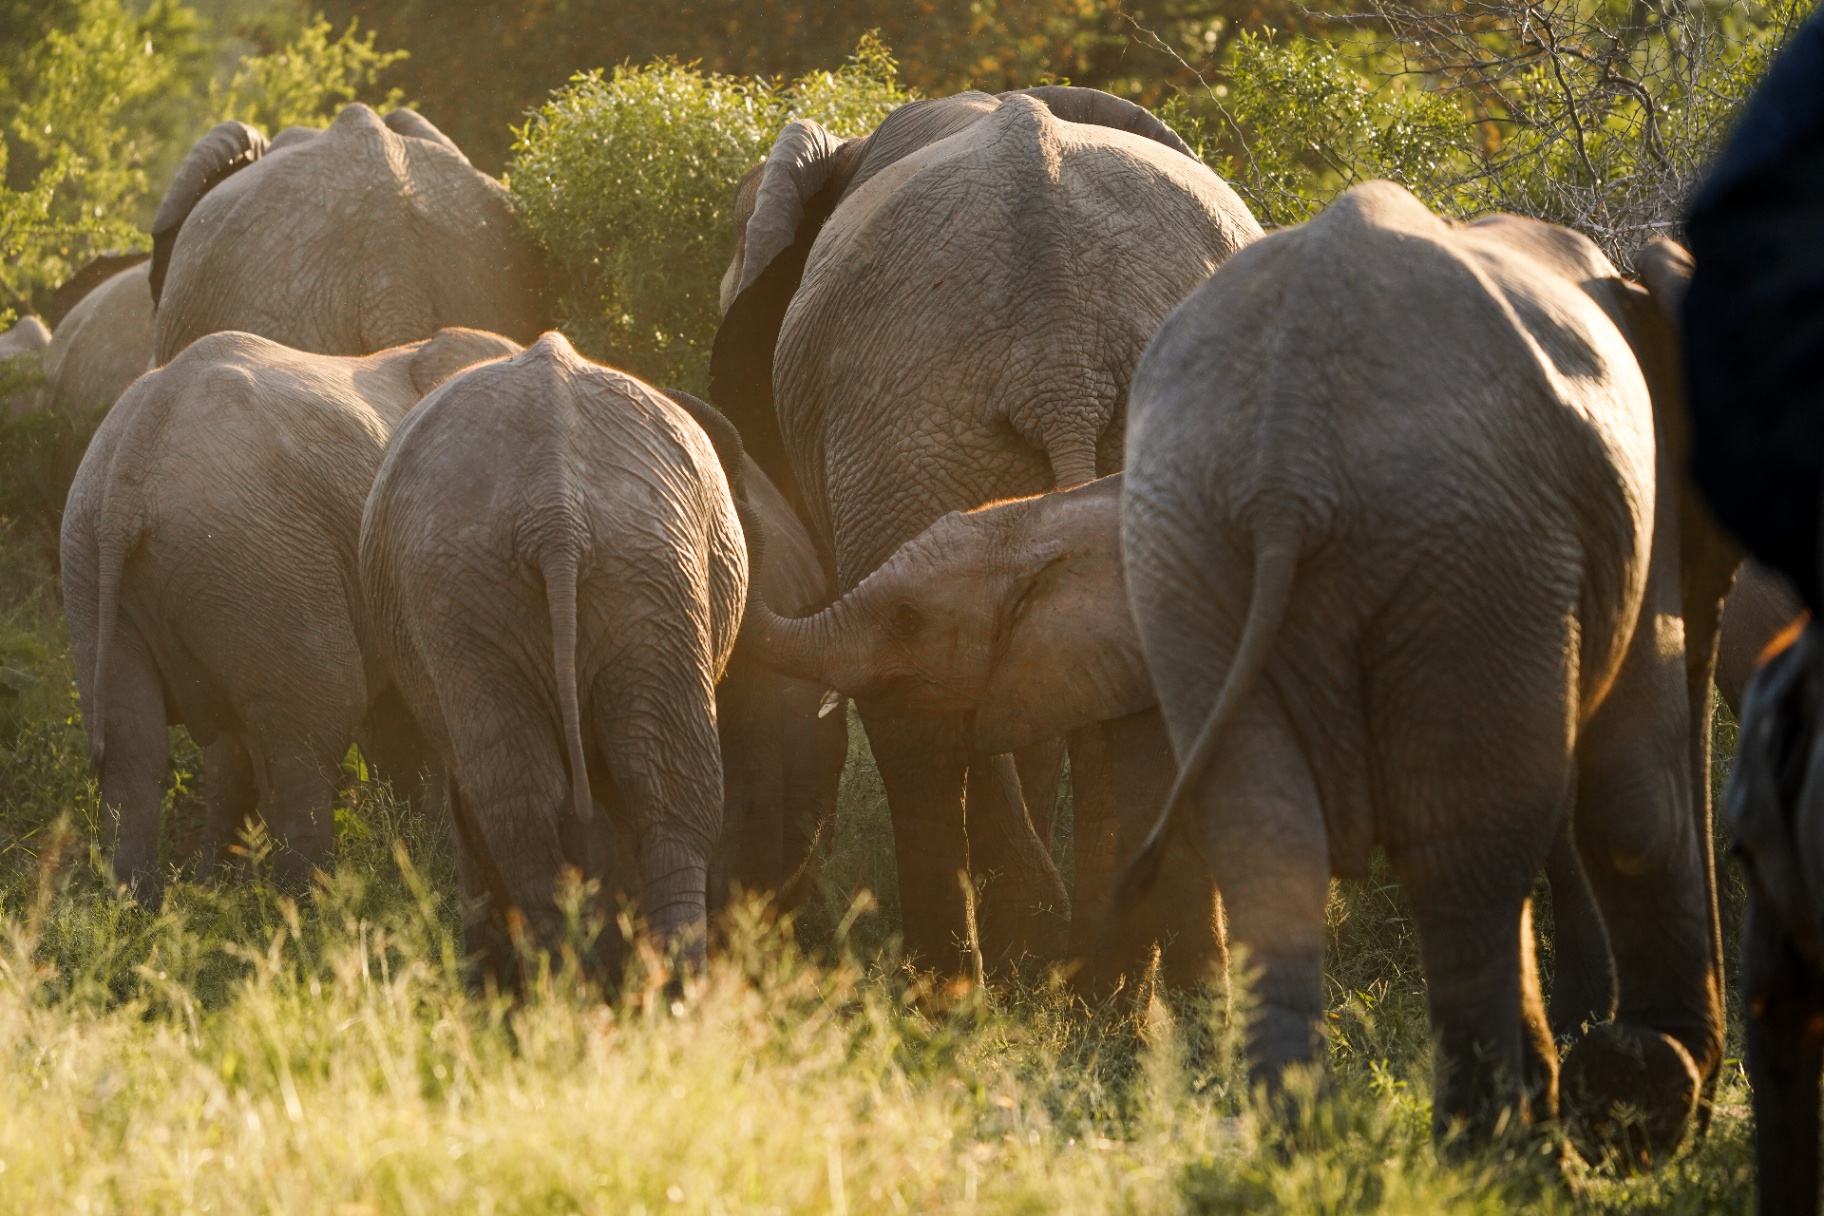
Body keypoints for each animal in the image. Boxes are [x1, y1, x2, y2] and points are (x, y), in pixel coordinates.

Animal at [61, 326, 519, 897]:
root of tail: (128, 472)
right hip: (259, 554)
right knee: (314, 729)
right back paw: (311, 898)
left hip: (101, 568)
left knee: (133, 751)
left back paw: (138, 906)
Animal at [359, 333, 747, 980]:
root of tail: (556, 515)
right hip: (631, 575)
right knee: (652, 793)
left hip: (517, 584)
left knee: (542, 807)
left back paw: (573, 988)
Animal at [1119, 182, 1731, 1160]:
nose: (1706, 1104)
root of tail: (1288, 455)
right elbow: (1634, 799)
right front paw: (1640, 1096)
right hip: (1470, 542)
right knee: (1468, 854)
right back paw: (1509, 1160)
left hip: (1186, 543)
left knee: (1269, 843)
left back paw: (1308, 1149)